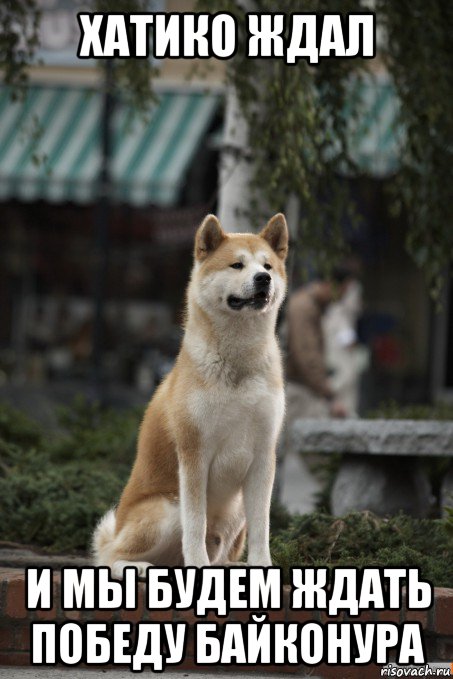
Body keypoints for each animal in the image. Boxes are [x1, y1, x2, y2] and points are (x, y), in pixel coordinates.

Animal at [92, 211, 288, 572]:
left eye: (267, 266)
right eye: (237, 265)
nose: (263, 279)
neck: (238, 363)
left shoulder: (264, 456)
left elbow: (262, 526)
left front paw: (262, 567)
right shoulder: (194, 453)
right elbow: (195, 524)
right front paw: (198, 566)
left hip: (234, 513)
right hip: (167, 508)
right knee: (110, 557)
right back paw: (144, 568)